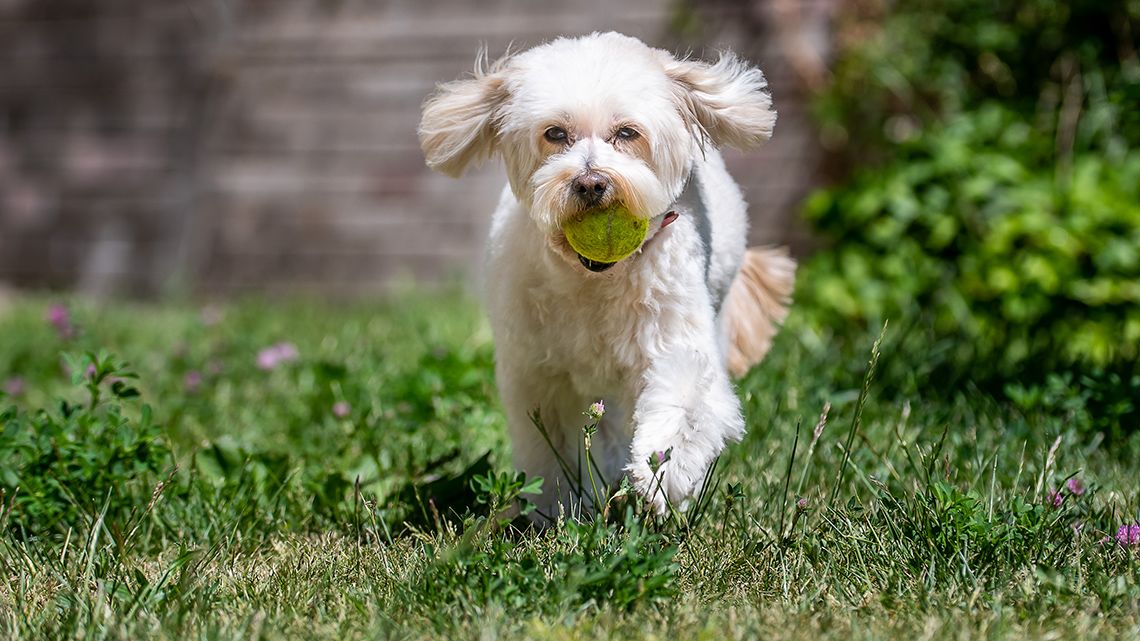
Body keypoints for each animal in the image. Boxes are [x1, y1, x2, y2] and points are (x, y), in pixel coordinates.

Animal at [417, 32, 793, 515]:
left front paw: (661, 476)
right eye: (555, 133)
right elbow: (550, 445)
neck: (594, 279)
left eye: (627, 133)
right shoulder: (540, 375)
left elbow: (687, 402)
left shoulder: (675, 339)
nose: (591, 182)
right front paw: (553, 509)